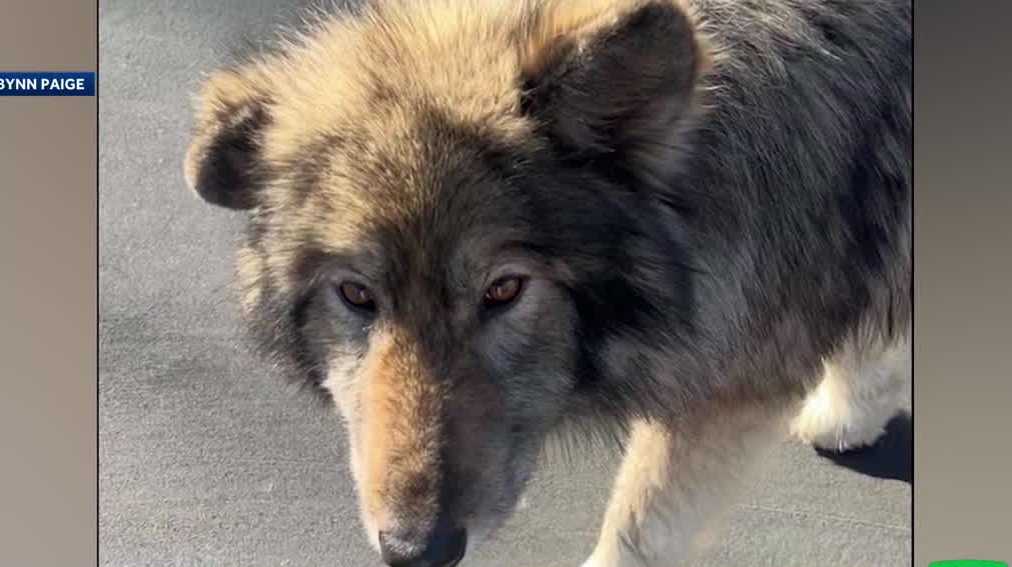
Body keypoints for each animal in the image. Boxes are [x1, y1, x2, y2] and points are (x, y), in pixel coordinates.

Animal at [183, 0, 911, 565]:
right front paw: (856, 405)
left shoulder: (729, 387)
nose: (417, 550)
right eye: (357, 294)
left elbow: (640, 528)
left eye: (503, 290)